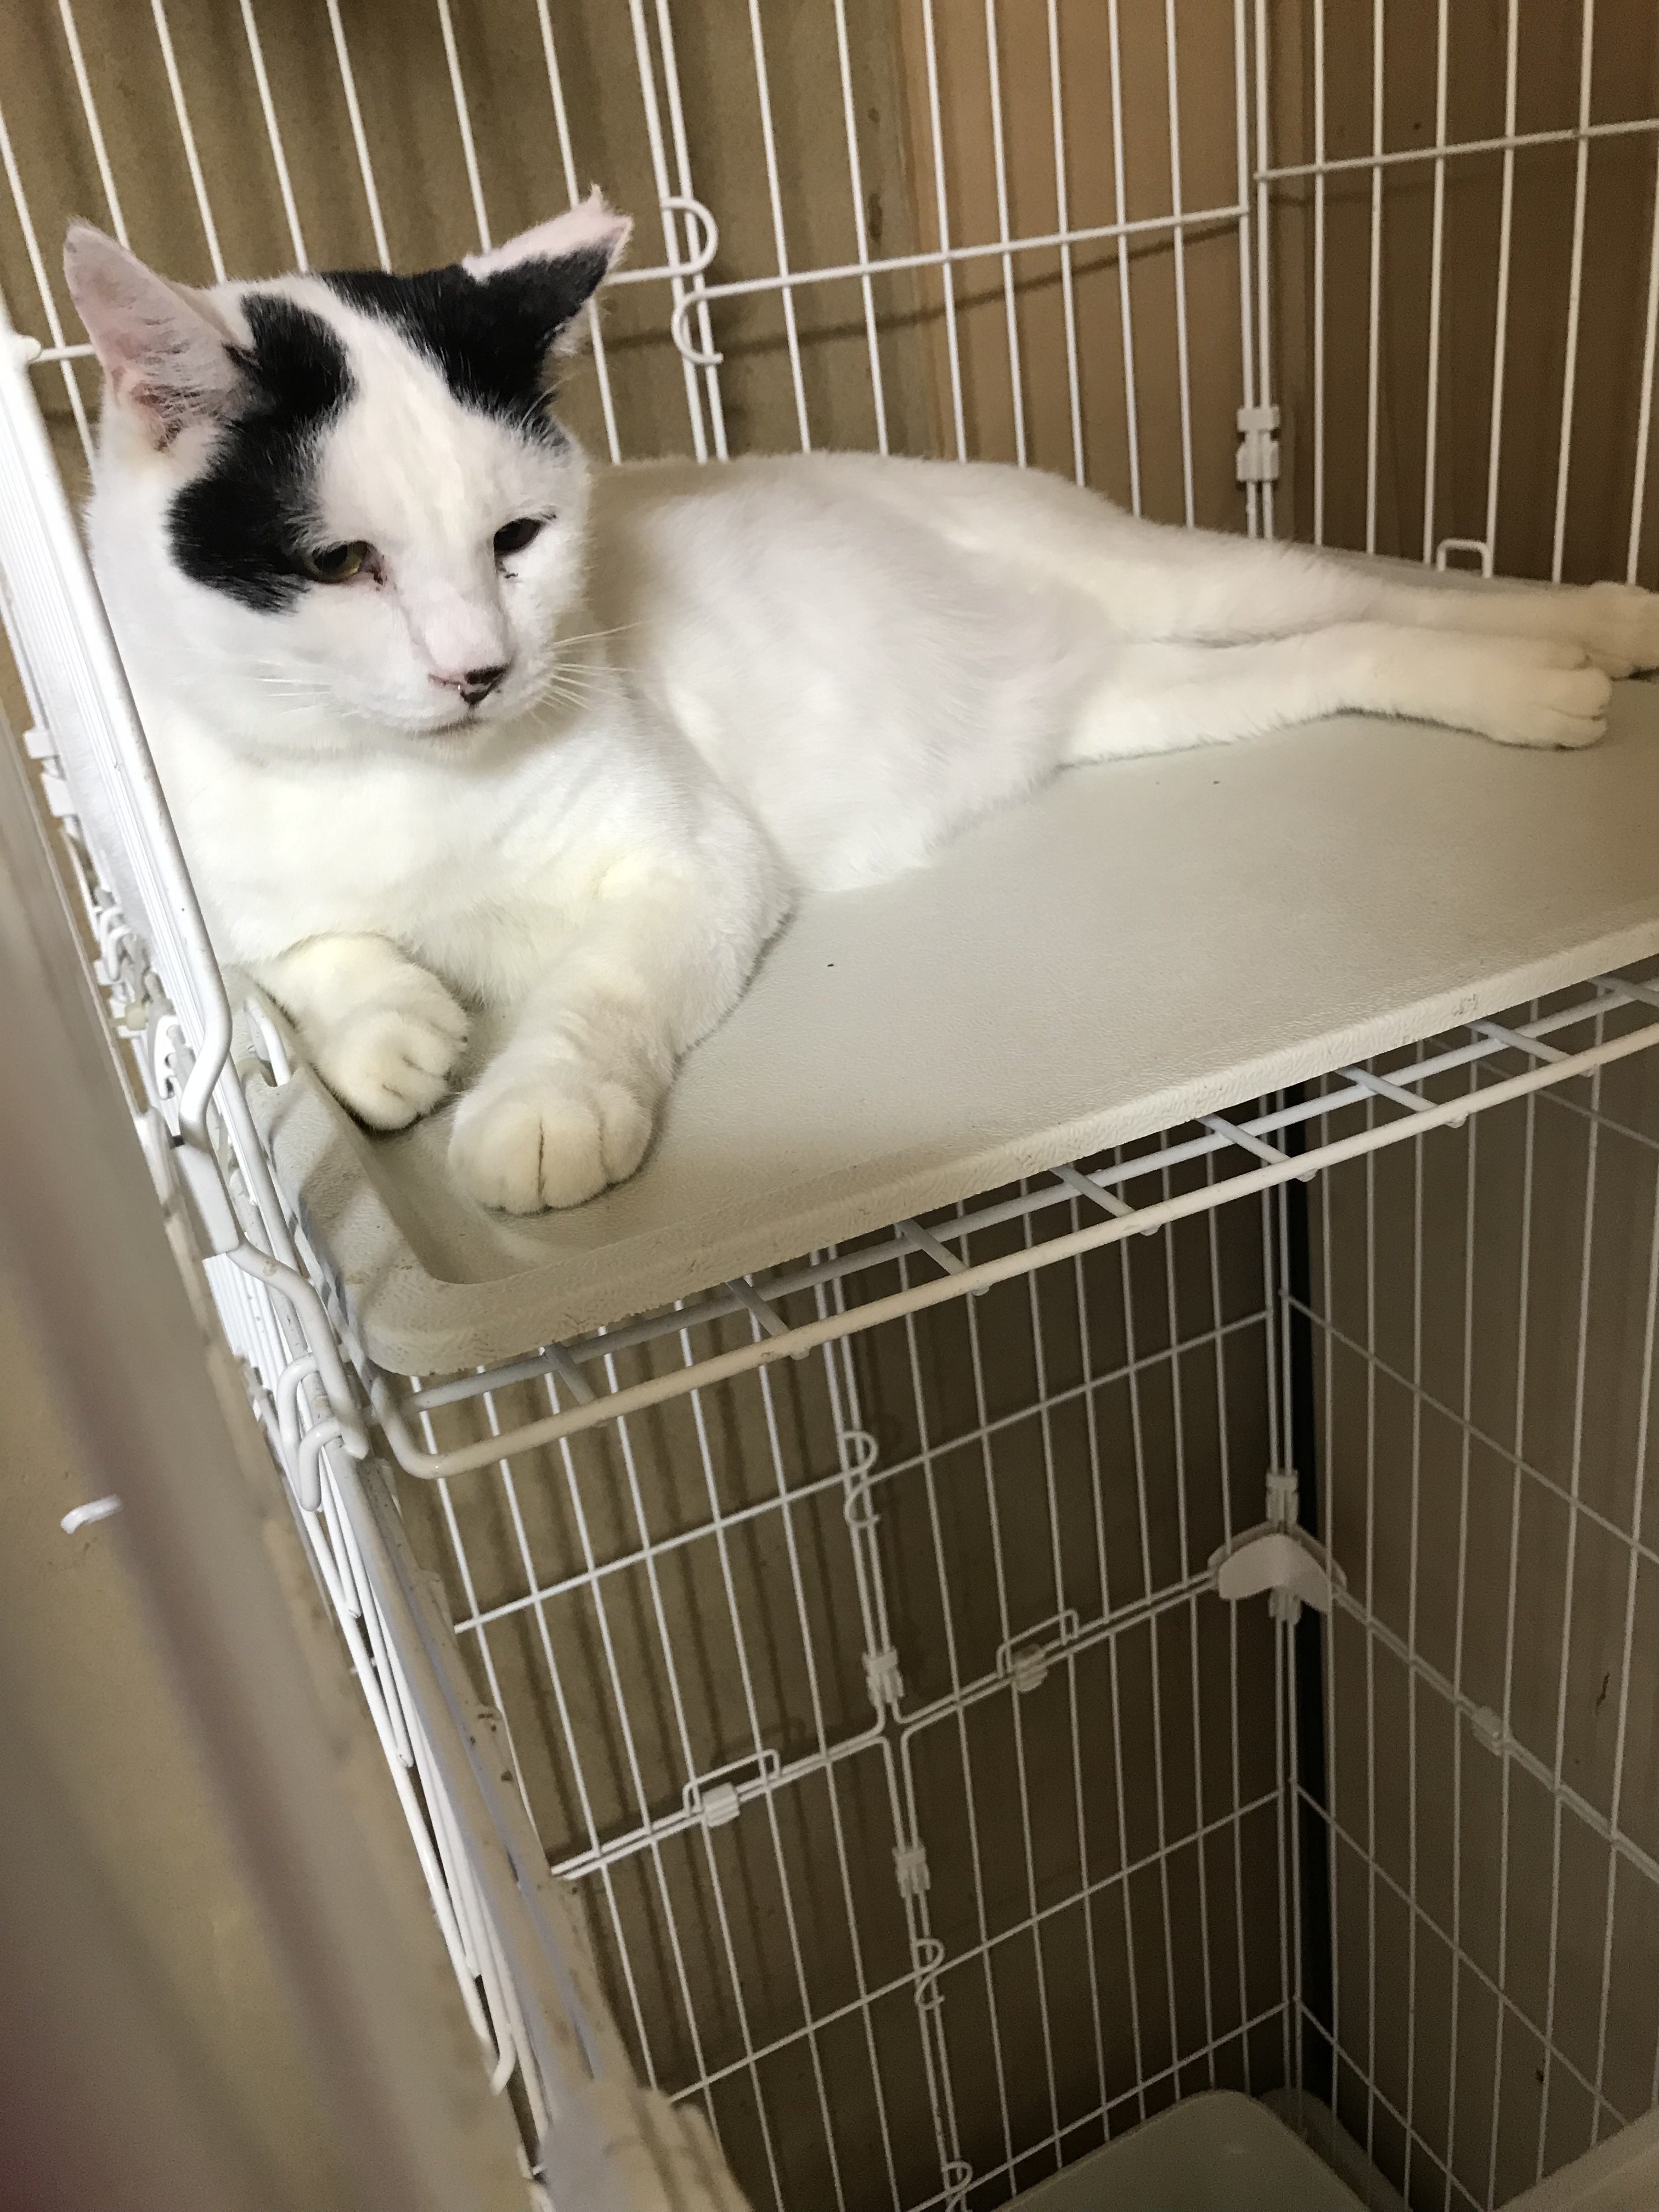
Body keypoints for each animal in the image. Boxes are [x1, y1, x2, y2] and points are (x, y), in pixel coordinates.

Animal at [65, 197, 1659, 1214]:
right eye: (345, 563)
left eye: (515, 540)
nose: (480, 668)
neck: (390, 787)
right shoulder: (204, 888)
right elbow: (281, 964)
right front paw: (390, 1029)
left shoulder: (698, 862)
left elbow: (602, 990)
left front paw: (541, 1107)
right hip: (1157, 692)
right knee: (1345, 646)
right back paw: (1550, 674)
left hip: (1188, 579)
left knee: (1384, 588)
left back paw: (1588, 632)